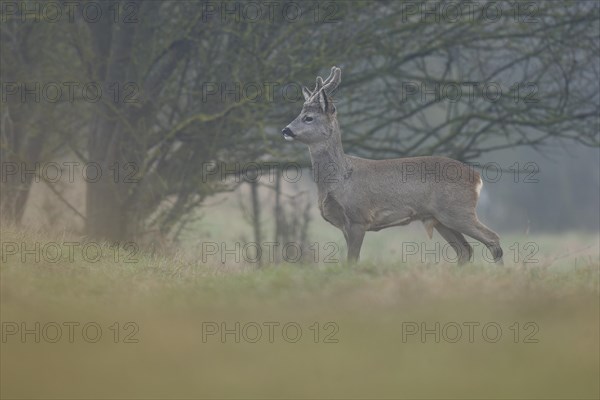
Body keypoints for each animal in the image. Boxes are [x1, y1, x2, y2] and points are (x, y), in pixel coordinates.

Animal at [282, 66, 502, 266]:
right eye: (300, 113)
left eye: (308, 118)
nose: (286, 130)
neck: (340, 179)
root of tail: (477, 178)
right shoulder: (345, 224)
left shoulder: (359, 217)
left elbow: (352, 260)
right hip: (440, 217)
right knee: (465, 250)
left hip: (458, 210)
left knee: (493, 239)